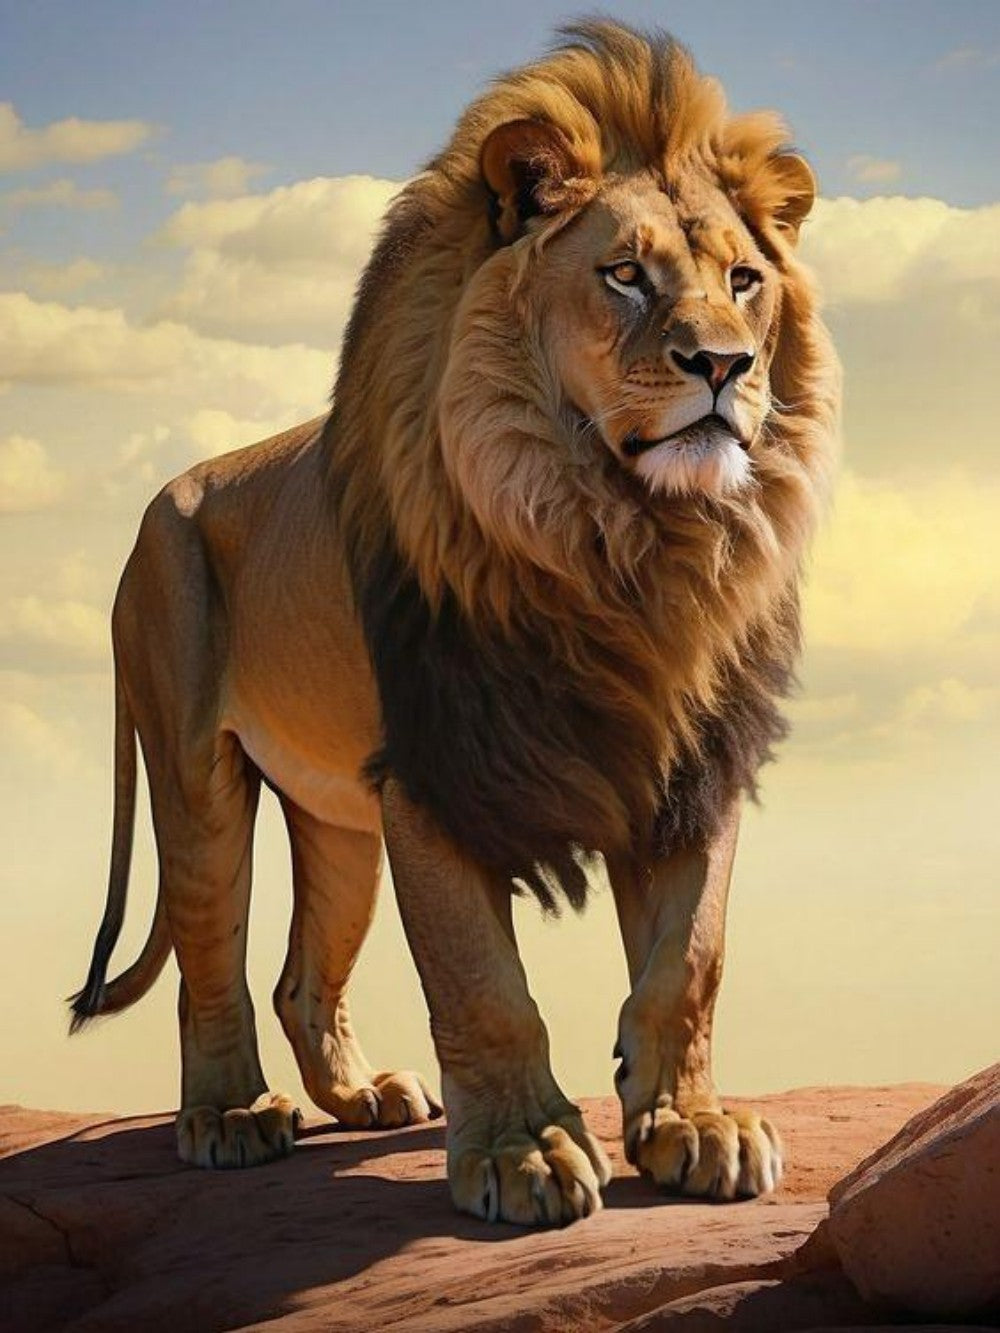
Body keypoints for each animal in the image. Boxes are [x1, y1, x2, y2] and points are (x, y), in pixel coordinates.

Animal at [71, 21, 838, 1225]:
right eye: (625, 274)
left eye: (744, 280)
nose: (723, 364)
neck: (630, 543)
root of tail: (162, 498)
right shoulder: (439, 768)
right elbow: (482, 981)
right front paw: (525, 1151)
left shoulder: (693, 759)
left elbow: (689, 960)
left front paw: (693, 1124)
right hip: (196, 772)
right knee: (210, 959)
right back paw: (231, 1116)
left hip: (337, 818)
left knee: (302, 975)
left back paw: (364, 1095)